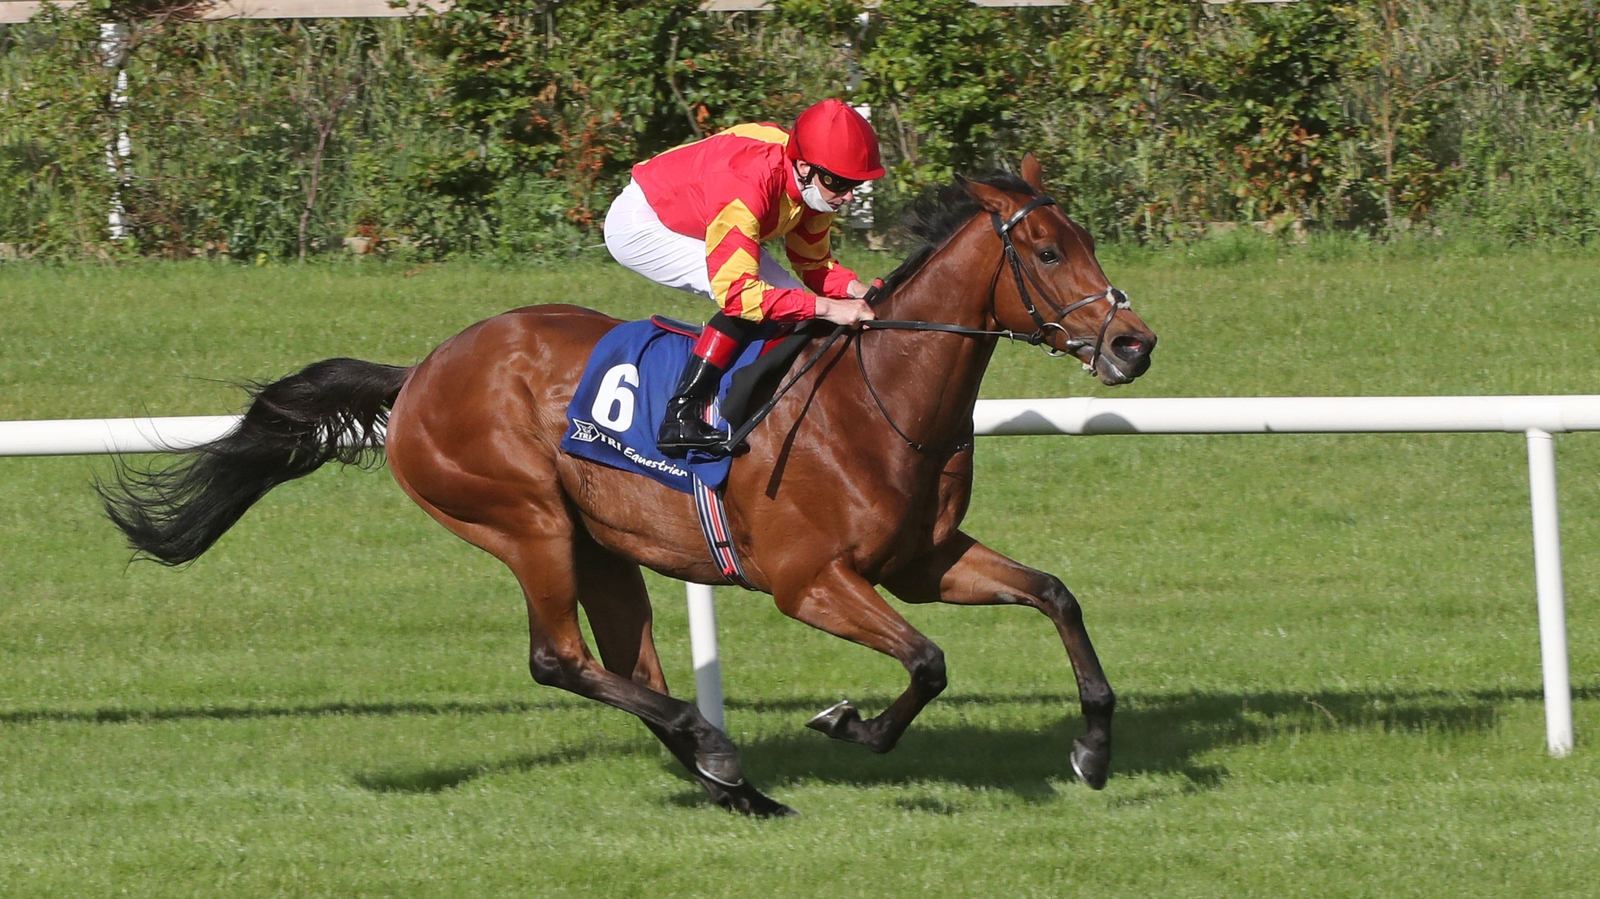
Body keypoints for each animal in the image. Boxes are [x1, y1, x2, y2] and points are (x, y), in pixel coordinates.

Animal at [103, 153, 1152, 812]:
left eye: (1087, 240)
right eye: (1048, 252)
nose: (1133, 343)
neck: (876, 398)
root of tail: (422, 372)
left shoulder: (922, 563)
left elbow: (1056, 594)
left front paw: (1095, 748)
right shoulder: (810, 582)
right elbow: (928, 663)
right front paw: (848, 722)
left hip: (604, 544)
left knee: (630, 667)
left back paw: (737, 785)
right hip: (524, 520)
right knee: (558, 659)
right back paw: (718, 751)